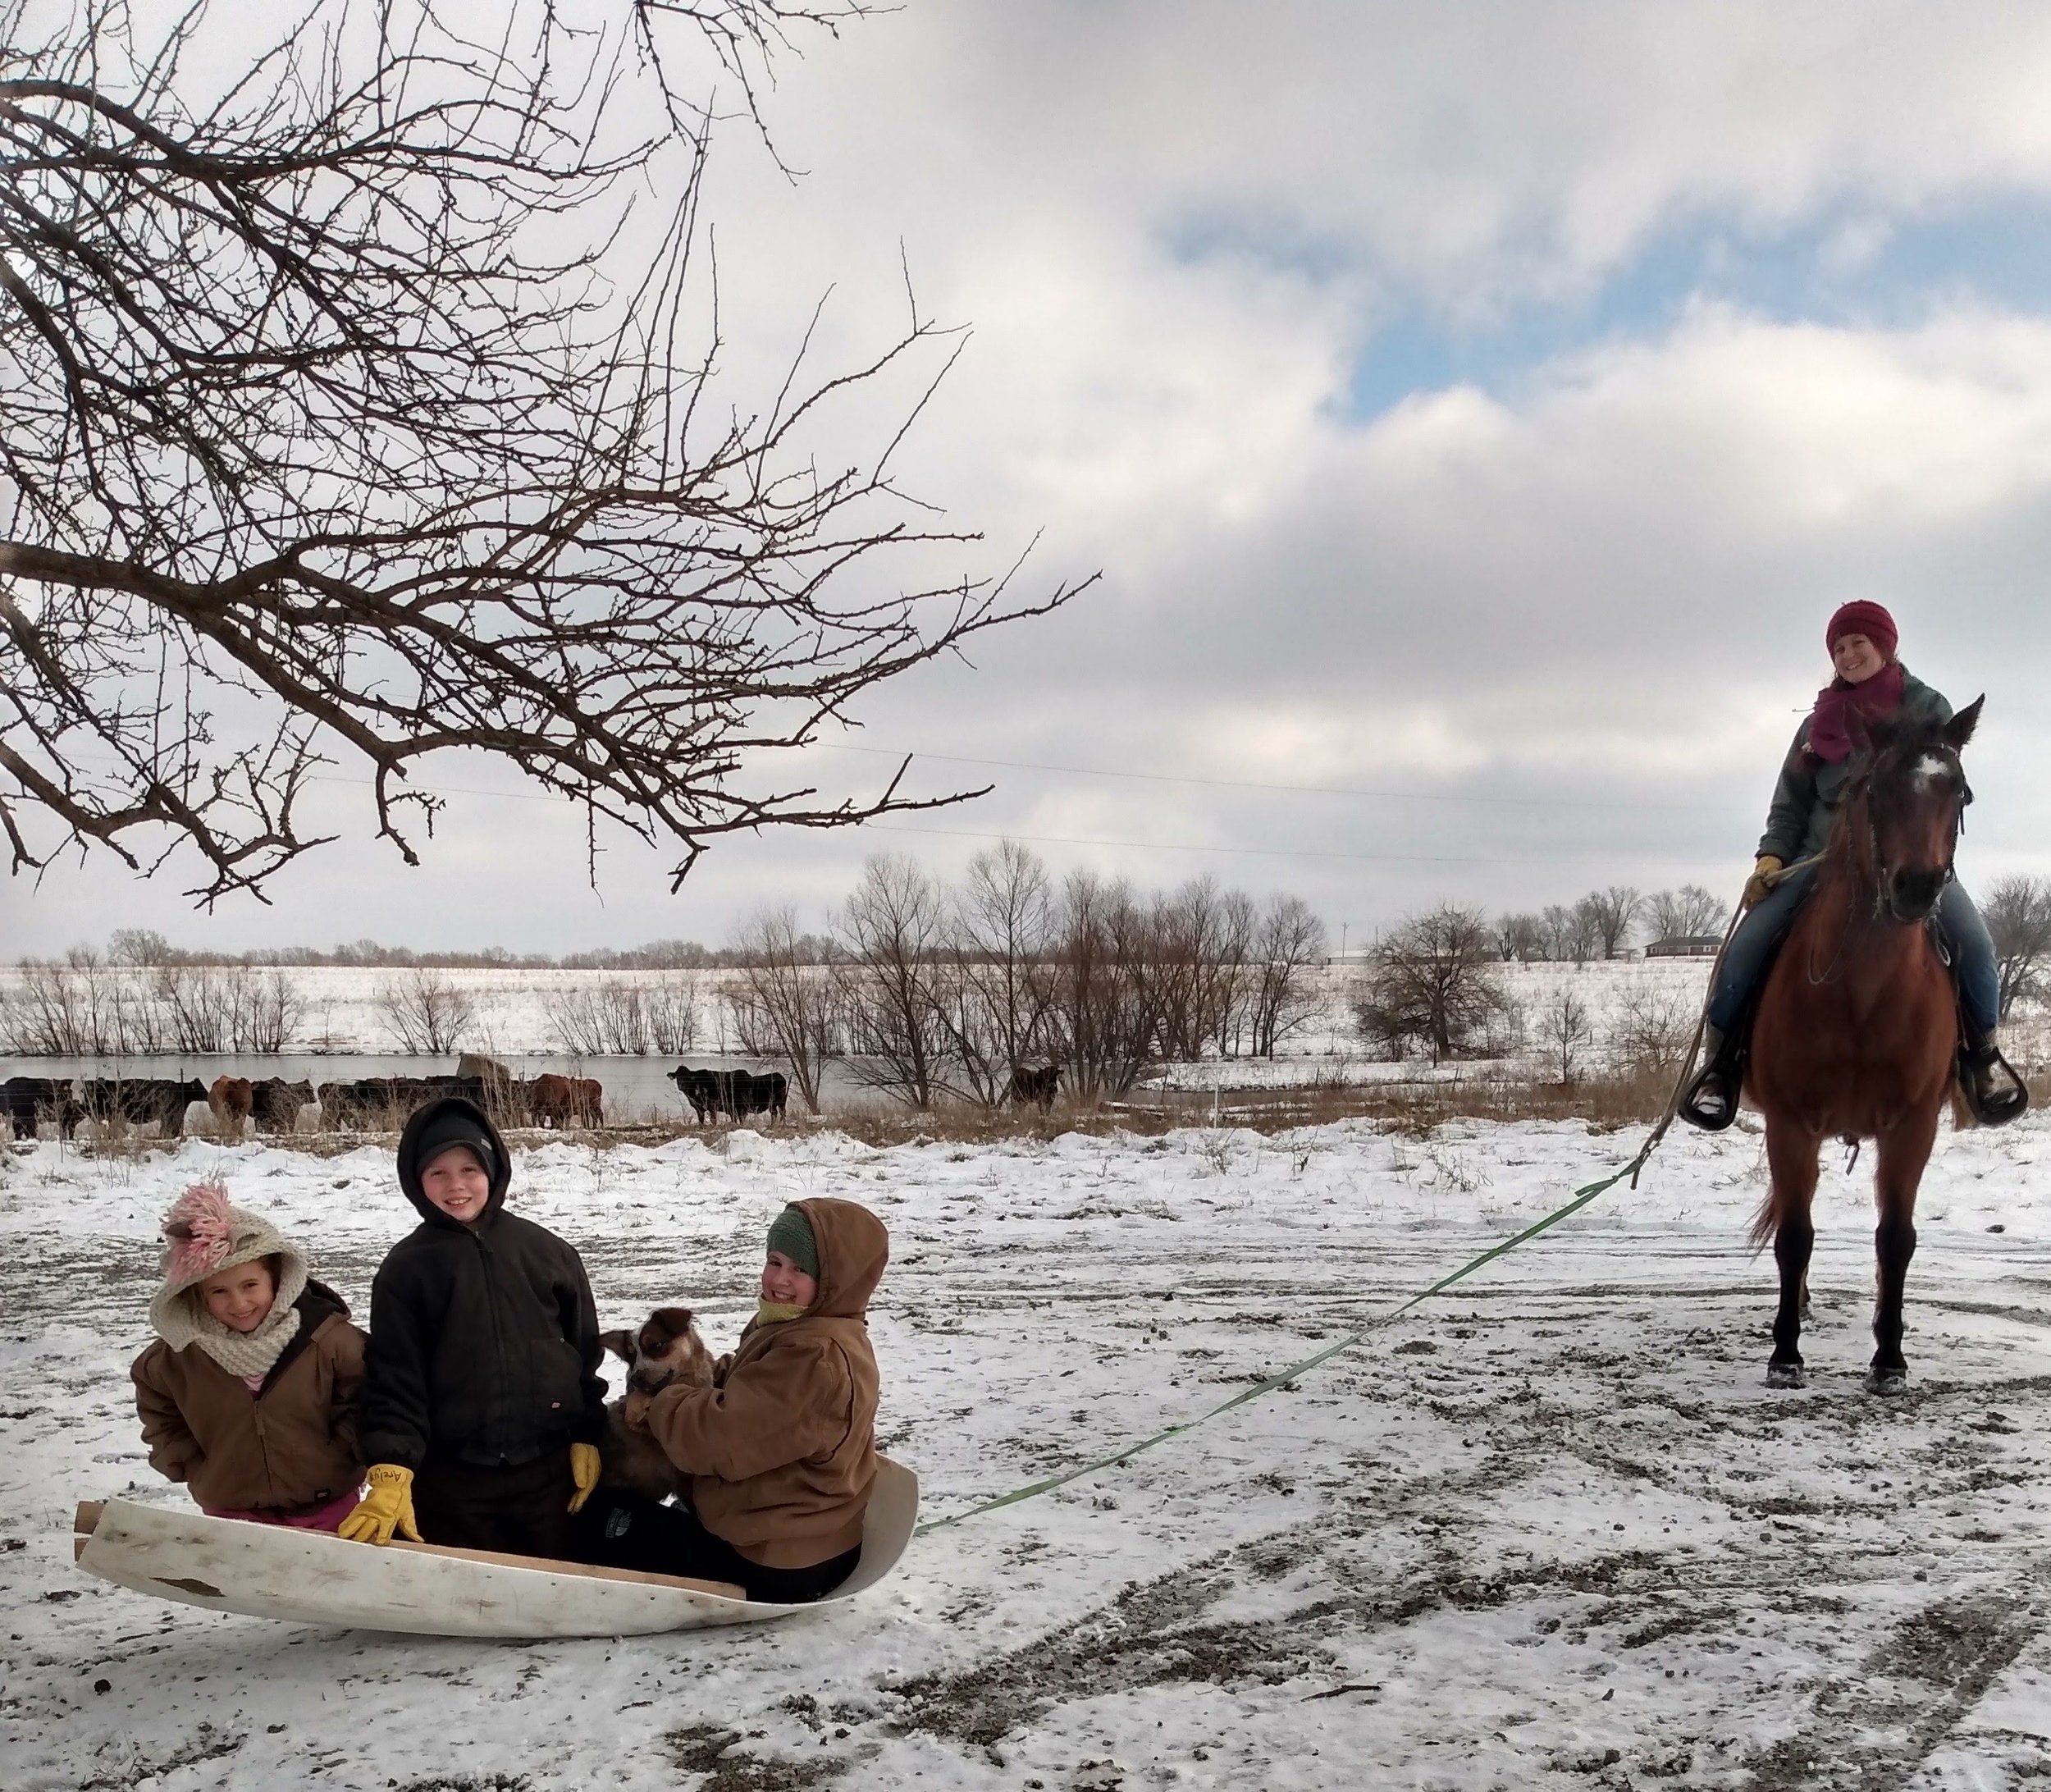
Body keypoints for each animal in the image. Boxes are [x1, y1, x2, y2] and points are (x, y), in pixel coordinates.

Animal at [1746, 697, 1983, 1395]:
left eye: (1957, 790)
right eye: (1873, 789)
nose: (1917, 888)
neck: (1863, 993)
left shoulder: (1912, 1128)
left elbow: (1895, 1239)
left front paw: (1889, 1358)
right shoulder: (1790, 1125)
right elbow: (1795, 1237)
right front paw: (1786, 1354)